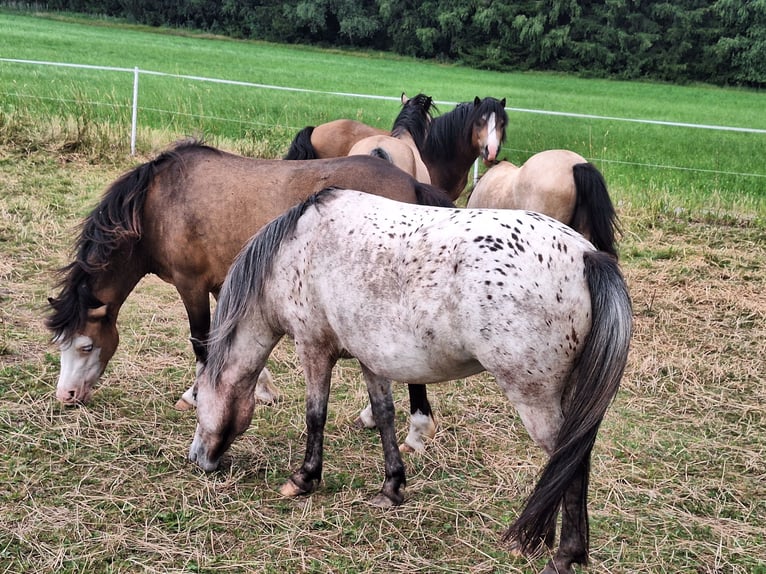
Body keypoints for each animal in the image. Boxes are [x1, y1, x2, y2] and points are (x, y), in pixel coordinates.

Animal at [46, 140, 454, 407]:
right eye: (60, 345)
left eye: (86, 345)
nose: (66, 395)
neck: (156, 205)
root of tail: (412, 183)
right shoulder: (223, 282)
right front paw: (263, 389)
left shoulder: (191, 285)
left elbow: (202, 341)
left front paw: (194, 396)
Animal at [189, 187, 632, 574]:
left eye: (198, 400)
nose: (197, 458)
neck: (294, 249)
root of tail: (586, 255)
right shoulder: (370, 357)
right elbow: (385, 414)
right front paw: (391, 487)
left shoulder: (313, 347)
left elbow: (315, 415)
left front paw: (304, 478)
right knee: (572, 459)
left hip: (534, 398)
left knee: (568, 461)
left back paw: (565, 555)